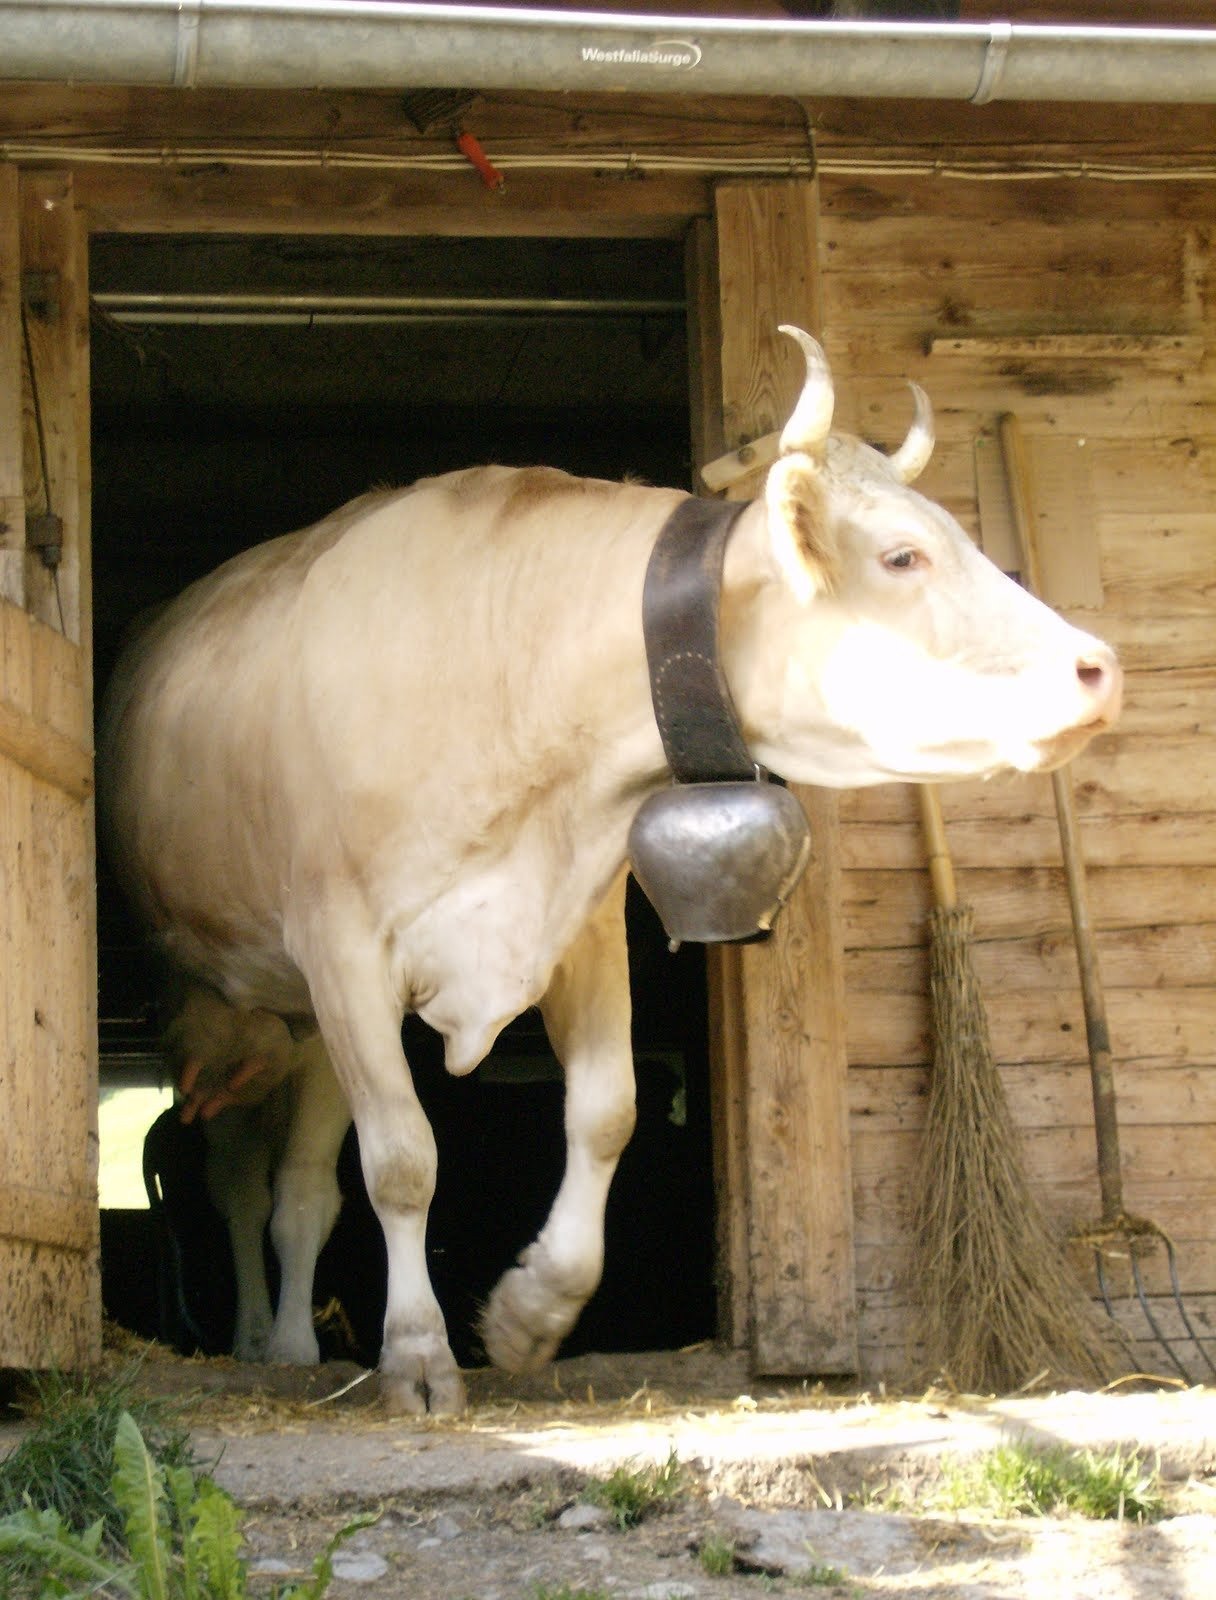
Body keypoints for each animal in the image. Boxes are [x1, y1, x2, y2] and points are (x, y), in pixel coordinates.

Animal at [98, 327, 1121, 1414]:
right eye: (901, 554)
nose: (1099, 668)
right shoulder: (343, 953)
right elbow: (404, 1161)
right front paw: (417, 1356)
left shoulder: (577, 930)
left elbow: (604, 1114)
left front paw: (529, 1314)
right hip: (250, 1005)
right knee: (240, 1182)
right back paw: (266, 1338)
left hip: (298, 1031)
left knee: (294, 1192)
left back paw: (291, 1344)